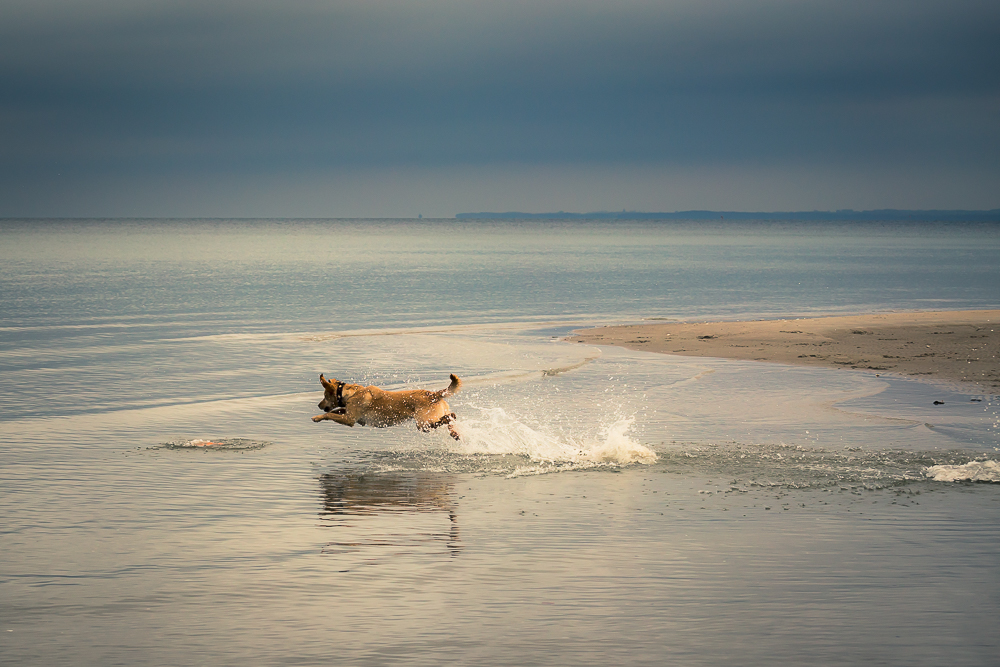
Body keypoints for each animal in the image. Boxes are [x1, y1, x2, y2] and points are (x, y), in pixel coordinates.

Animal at [310, 374, 462, 440]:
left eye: (324, 396)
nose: (318, 405)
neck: (350, 393)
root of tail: (434, 394)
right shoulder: (348, 413)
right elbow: (337, 410)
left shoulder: (349, 419)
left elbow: (330, 414)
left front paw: (317, 417)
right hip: (428, 421)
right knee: (451, 417)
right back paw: (454, 432)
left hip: (423, 423)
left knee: (448, 418)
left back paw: (451, 425)